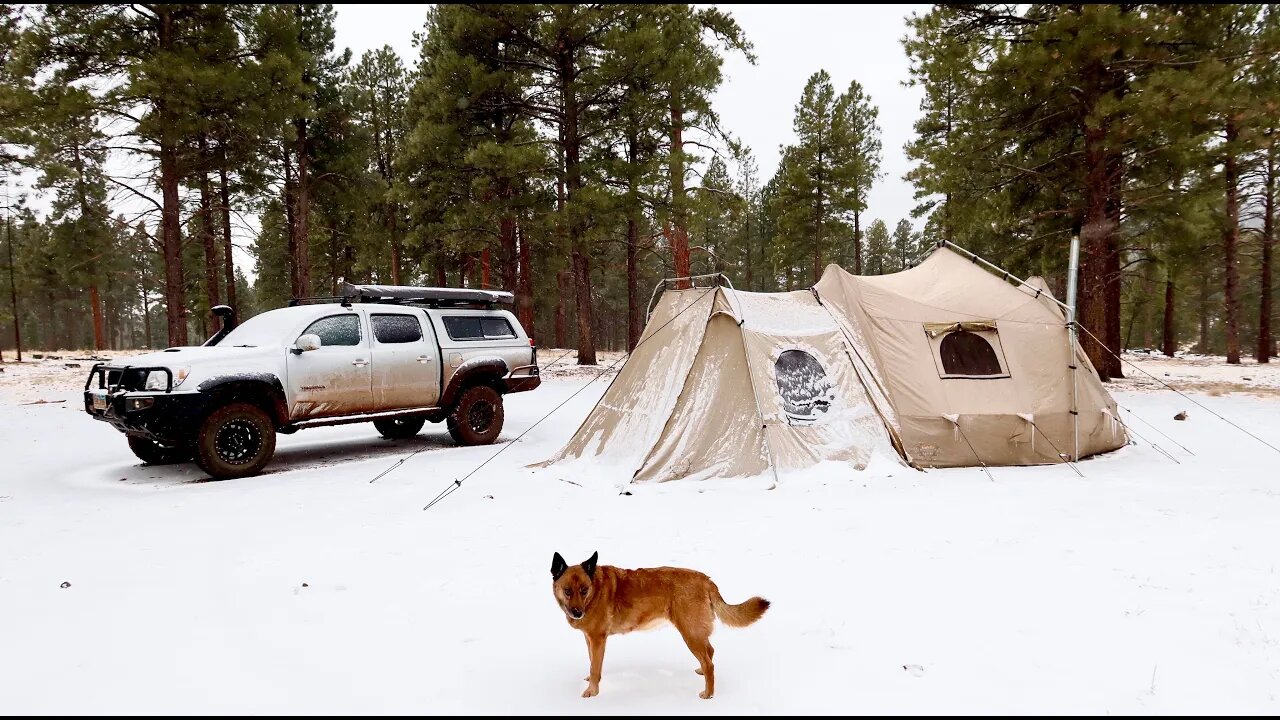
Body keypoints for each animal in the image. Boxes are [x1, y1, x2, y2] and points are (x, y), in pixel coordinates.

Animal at [550, 548, 768, 696]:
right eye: (567, 591)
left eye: (584, 590)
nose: (577, 613)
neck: (595, 591)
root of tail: (707, 580)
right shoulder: (590, 639)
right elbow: (592, 663)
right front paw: (591, 680)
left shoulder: (597, 639)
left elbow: (595, 667)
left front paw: (592, 690)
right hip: (696, 632)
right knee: (710, 652)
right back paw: (701, 673)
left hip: (690, 633)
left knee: (710, 663)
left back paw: (708, 694)